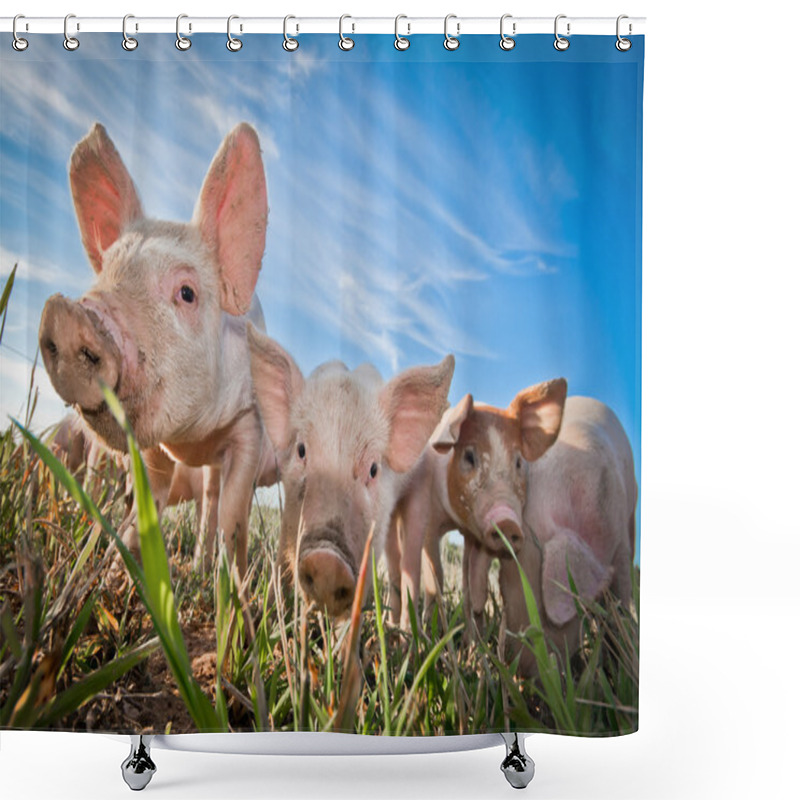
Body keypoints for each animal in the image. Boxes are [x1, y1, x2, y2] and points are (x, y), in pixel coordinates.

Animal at [37, 122, 276, 580]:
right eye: (106, 273)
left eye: (186, 293)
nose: (70, 314)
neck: (191, 439)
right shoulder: (149, 447)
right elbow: (149, 500)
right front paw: (120, 570)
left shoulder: (250, 424)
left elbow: (234, 515)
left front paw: (235, 591)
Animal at [247, 324, 454, 620]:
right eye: (301, 450)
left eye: (373, 469)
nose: (327, 561)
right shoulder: (288, 516)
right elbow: (281, 565)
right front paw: (271, 614)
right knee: (395, 565)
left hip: (420, 493)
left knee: (411, 567)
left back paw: (404, 629)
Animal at [390, 378, 568, 636]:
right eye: (469, 457)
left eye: (518, 462)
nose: (507, 522)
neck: (452, 519)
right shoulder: (430, 522)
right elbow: (436, 576)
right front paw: (434, 633)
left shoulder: (473, 533)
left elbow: (471, 586)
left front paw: (473, 639)